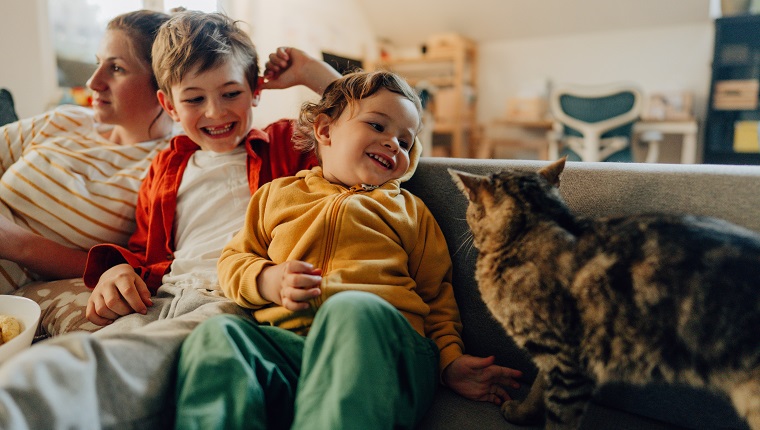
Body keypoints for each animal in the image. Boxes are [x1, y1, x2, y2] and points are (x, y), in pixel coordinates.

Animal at [452, 159, 760, 430]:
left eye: (468, 207)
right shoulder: (553, 356)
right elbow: (538, 388)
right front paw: (522, 412)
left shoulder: (571, 367)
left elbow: (558, 419)